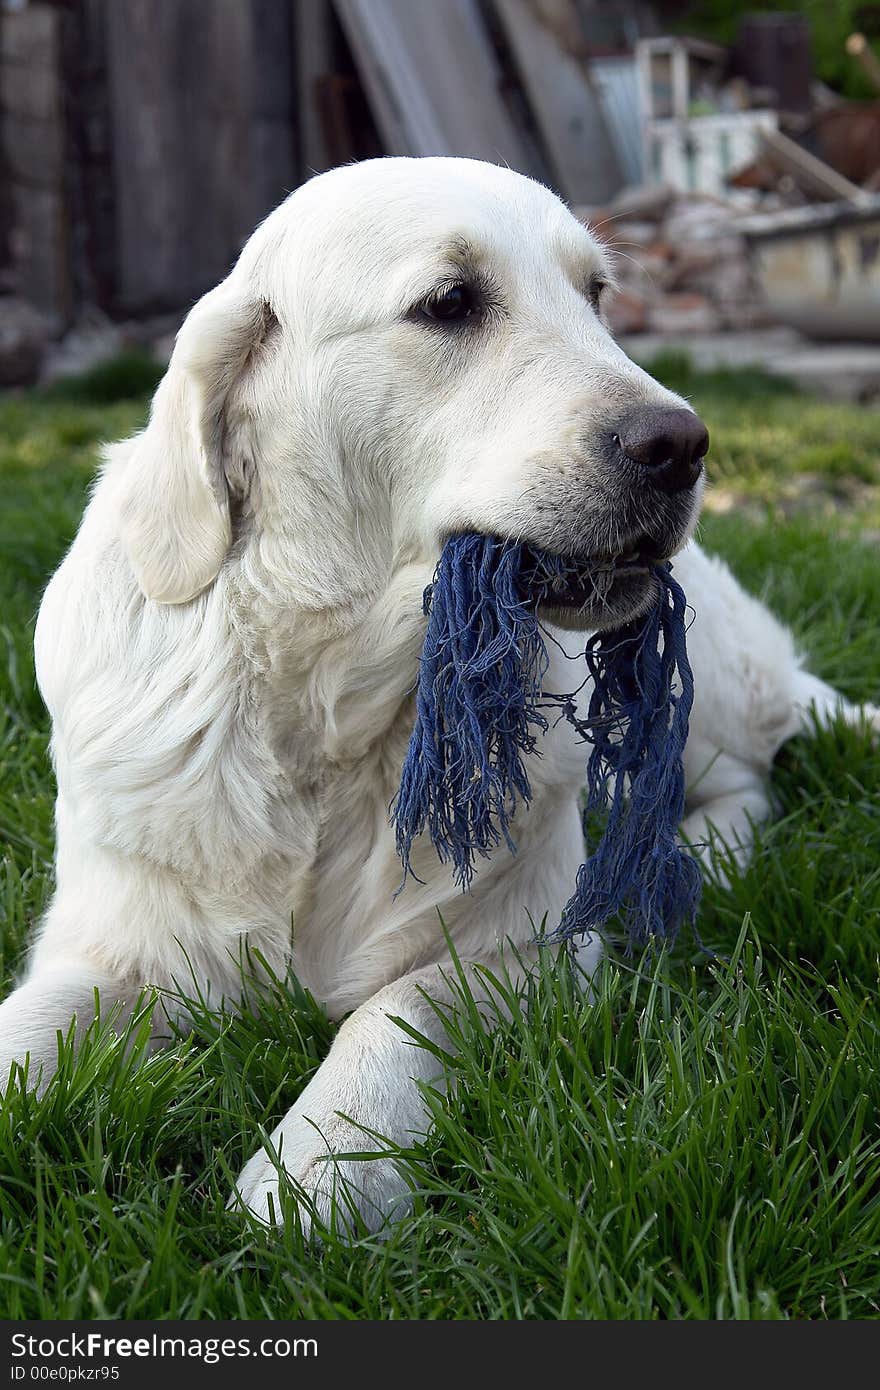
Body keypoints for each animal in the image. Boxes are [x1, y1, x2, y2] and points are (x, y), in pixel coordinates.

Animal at [3, 157, 873, 1234]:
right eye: (451, 302)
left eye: (596, 296)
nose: (682, 443)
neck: (327, 706)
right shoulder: (105, 943)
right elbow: (31, 1027)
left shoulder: (528, 943)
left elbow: (400, 1005)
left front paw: (321, 1162)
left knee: (745, 770)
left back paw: (698, 854)